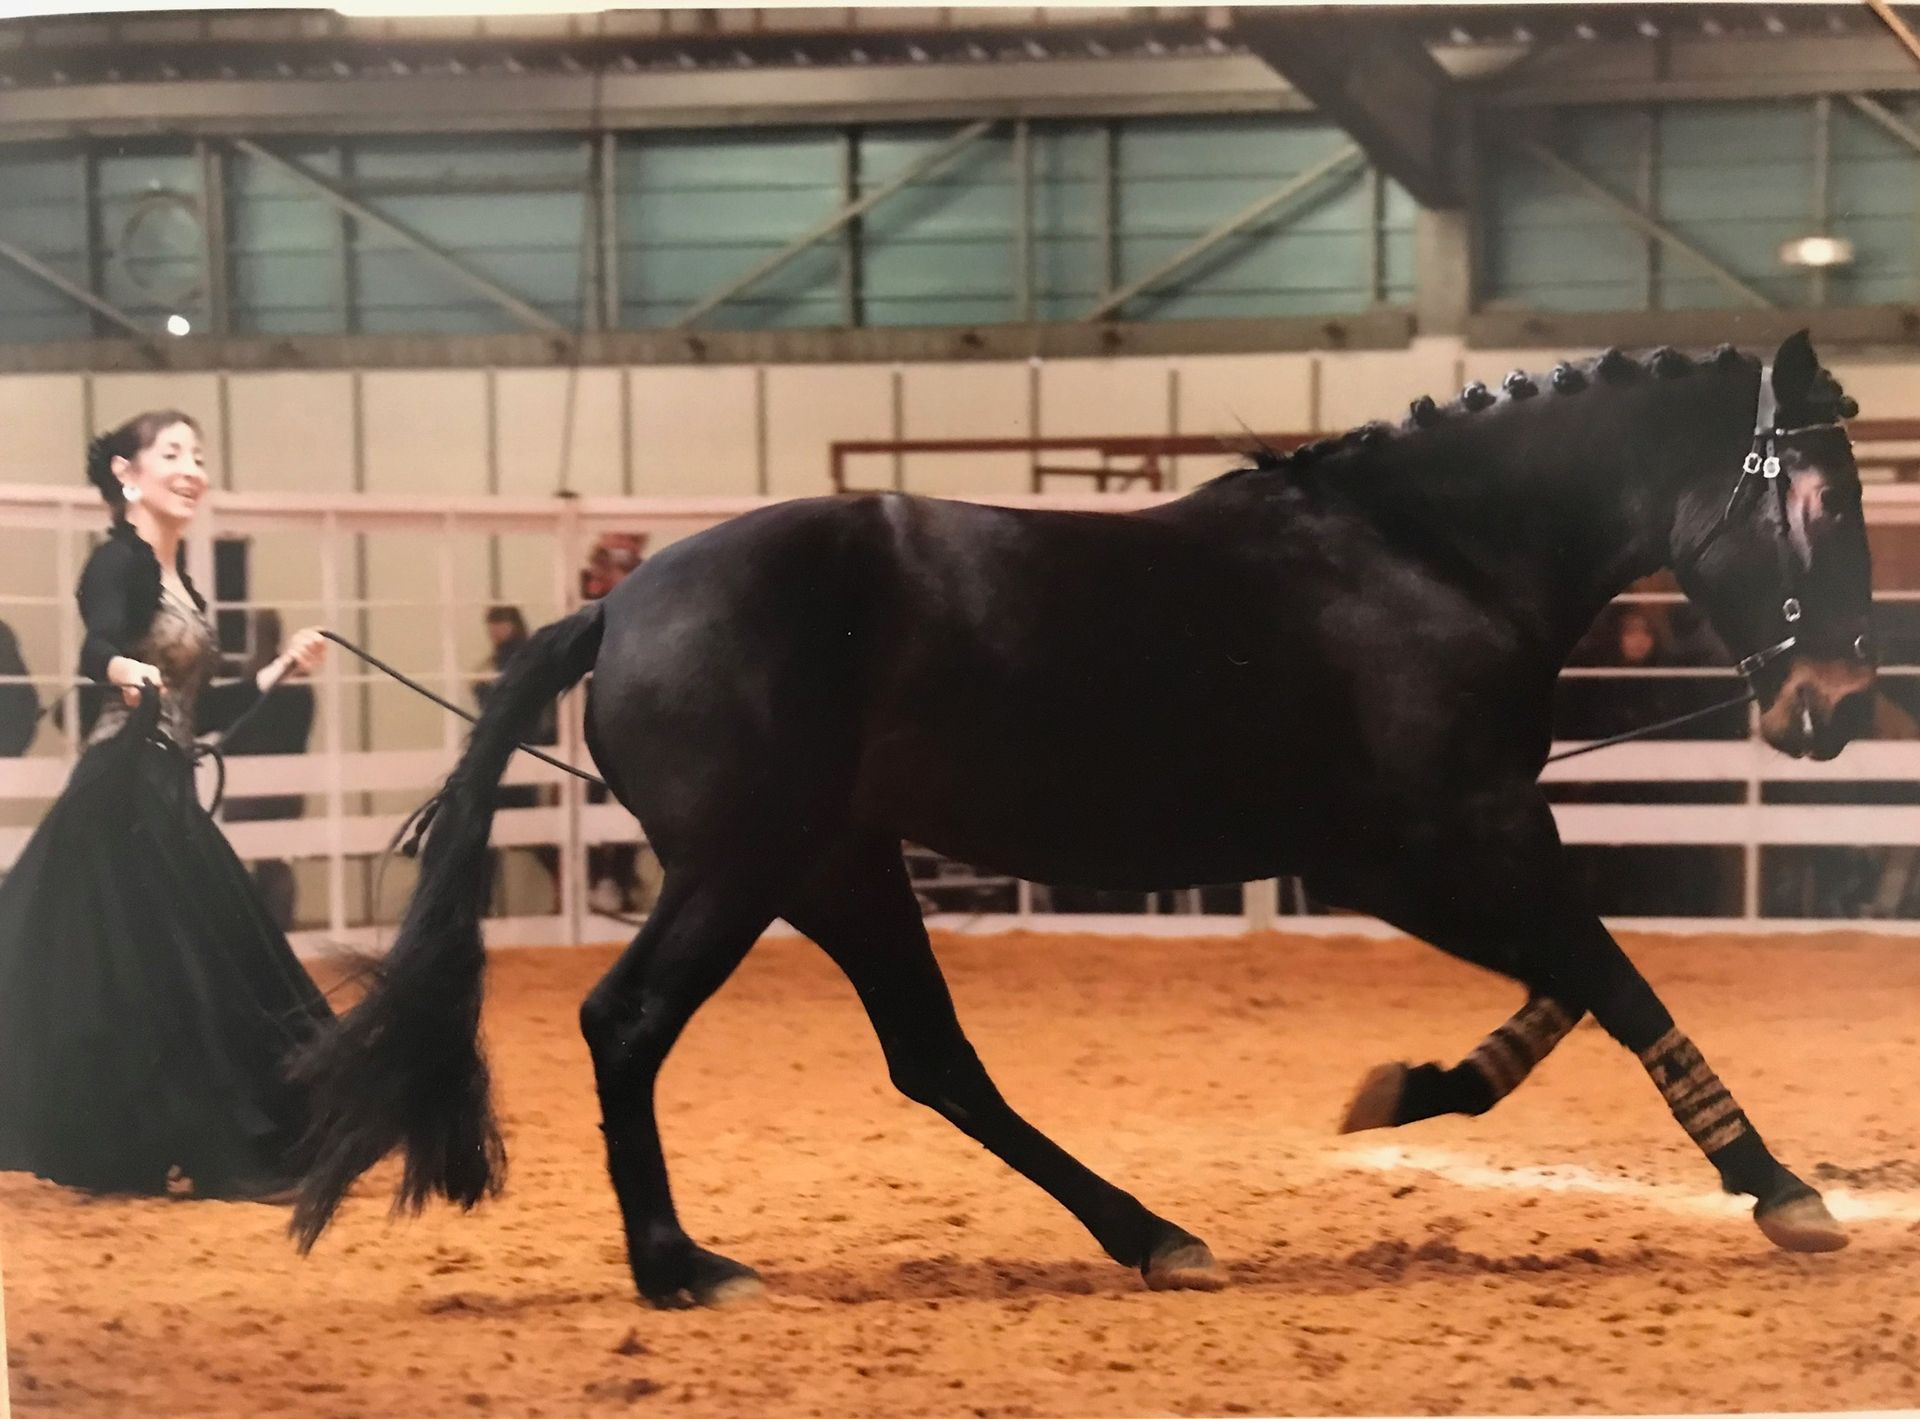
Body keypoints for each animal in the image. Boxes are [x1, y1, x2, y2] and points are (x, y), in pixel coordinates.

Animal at [291, 331, 1876, 1309]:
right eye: (1814, 498)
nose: (1837, 704)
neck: (1425, 557)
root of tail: (620, 602)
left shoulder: (1449, 845)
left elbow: (1571, 979)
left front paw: (1418, 1086)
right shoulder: (1426, 843)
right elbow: (1612, 975)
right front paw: (1782, 1190)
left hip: (837, 867)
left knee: (935, 1059)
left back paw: (1153, 1234)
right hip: (736, 871)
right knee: (627, 1025)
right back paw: (684, 1264)